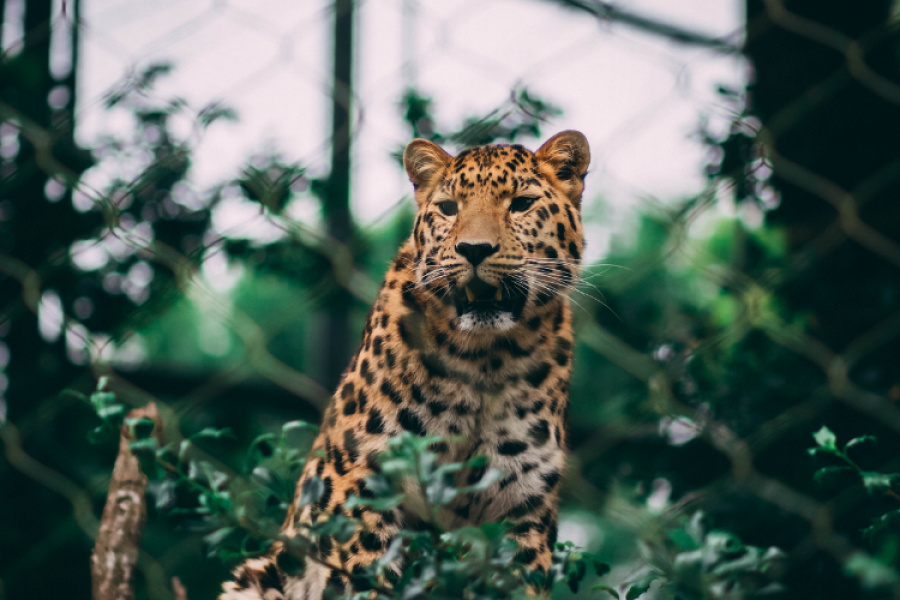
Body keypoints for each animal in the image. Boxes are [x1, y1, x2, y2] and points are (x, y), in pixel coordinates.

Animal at [221, 129, 592, 596]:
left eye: (521, 203)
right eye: (449, 208)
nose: (474, 249)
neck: (486, 359)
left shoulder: (523, 504)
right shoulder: (365, 478)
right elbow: (367, 574)